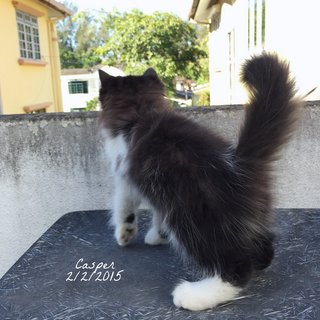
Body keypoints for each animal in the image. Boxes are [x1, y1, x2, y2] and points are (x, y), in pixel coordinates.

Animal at [99, 53, 302, 312]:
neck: (140, 112)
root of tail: (239, 163)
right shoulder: (154, 186)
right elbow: (155, 212)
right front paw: (158, 235)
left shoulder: (127, 176)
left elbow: (123, 206)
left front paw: (124, 234)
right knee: (262, 245)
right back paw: (260, 259)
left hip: (192, 212)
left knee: (235, 265)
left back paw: (197, 294)